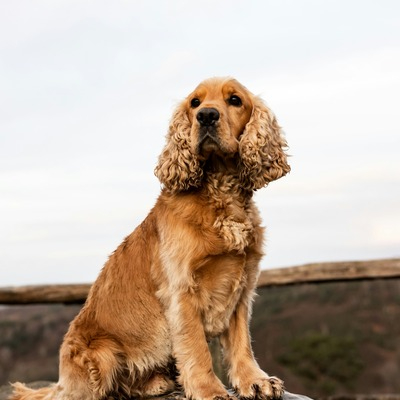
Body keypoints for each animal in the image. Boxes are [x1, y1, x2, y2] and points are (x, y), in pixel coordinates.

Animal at [10, 77, 290, 400]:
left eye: (235, 100)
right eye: (195, 103)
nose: (206, 116)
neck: (221, 193)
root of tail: (61, 382)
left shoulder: (242, 287)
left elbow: (241, 342)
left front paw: (255, 381)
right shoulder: (182, 290)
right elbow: (197, 348)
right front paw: (209, 390)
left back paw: (155, 382)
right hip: (100, 354)